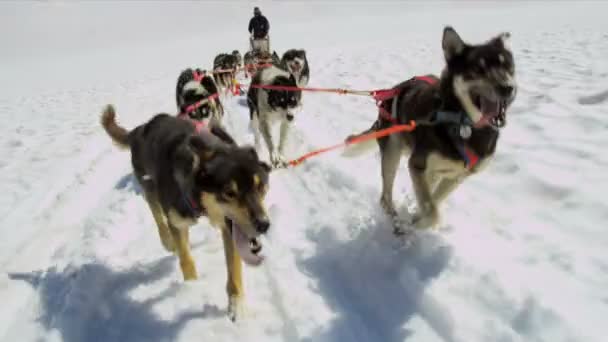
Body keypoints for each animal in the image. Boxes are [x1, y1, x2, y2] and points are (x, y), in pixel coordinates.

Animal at [101, 105, 272, 322]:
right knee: (157, 216)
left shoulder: (230, 228)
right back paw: (167, 241)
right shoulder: (177, 221)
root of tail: (141, 129)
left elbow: (234, 268)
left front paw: (237, 305)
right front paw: (192, 288)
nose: (263, 224)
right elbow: (186, 260)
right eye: (229, 193)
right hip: (150, 188)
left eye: (261, 187)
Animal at [344, 26, 516, 235]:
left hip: (431, 170)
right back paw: (397, 223)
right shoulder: (417, 164)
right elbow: (432, 213)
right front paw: (414, 224)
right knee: (385, 199)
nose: (508, 88)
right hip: (393, 150)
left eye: (508, 67)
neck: (463, 123)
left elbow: (434, 201)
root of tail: (391, 91)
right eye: (478, 69)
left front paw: (416, 218)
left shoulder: (456, 177)